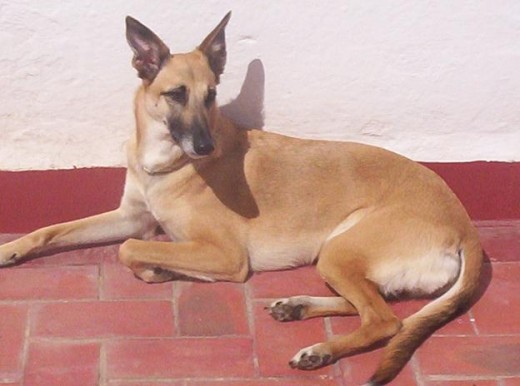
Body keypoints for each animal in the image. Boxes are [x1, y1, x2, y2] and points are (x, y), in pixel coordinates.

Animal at [0, 12, 484, 386]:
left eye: (211, 95)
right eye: (176, 94)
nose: (204, 146)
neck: (165, 162)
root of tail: (466, 227)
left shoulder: (224, 254)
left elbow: (130, 250)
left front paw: (158, 269)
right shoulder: (130, 216)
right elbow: (51, 230)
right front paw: (11, 248)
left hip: (341, 250)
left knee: (385, 320)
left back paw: (320, 351)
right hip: (336, 256)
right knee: (372, 307)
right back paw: (297, 307)